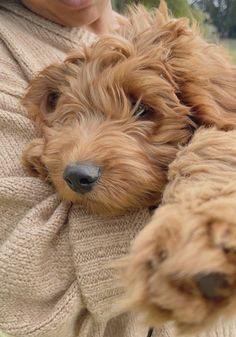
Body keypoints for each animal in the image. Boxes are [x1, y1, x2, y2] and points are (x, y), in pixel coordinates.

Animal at [21, 0, 236, 334]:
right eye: (71, 114)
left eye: (143, 108)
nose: (77, 176)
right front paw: (40, 156)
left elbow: (206, 148)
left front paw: (193, 240)